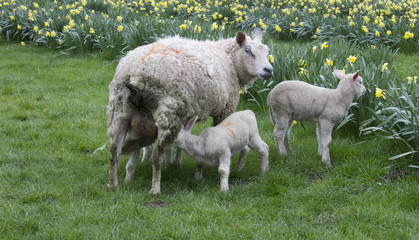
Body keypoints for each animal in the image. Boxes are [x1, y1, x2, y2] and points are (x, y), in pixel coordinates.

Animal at [106, 27, 274, 195]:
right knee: (156, 155)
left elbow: (183, 137)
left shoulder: (186, 112)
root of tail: (135, 75)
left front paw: (175, 163)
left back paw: (113, 185)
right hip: (165, 111)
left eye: (268, 52)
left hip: (120, 111)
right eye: (248, 50)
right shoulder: (225, 108)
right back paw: (155, 189)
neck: (229, 59)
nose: (269, 70)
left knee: (114, 150)